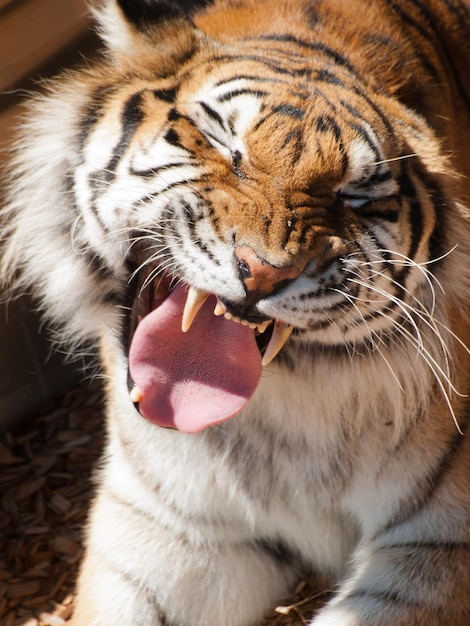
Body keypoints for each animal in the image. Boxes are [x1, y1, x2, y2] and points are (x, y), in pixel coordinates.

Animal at [0, 0, 470, 620]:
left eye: (355, 196)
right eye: (221, 144)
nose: (264, 269)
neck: (274, 424)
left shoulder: (440, 539)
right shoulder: (171, 526)